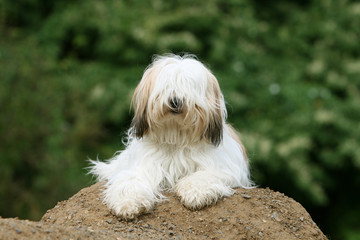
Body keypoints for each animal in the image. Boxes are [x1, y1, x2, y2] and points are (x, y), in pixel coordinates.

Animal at [90, 54, 253, 219]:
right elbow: (131, 181)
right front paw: (127, 202)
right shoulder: (143, 166)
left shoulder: (224, 169)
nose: (175, 100)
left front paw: (195, 193)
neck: (175, 137)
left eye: (188, 85)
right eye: (166, 85)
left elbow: (204, 176)